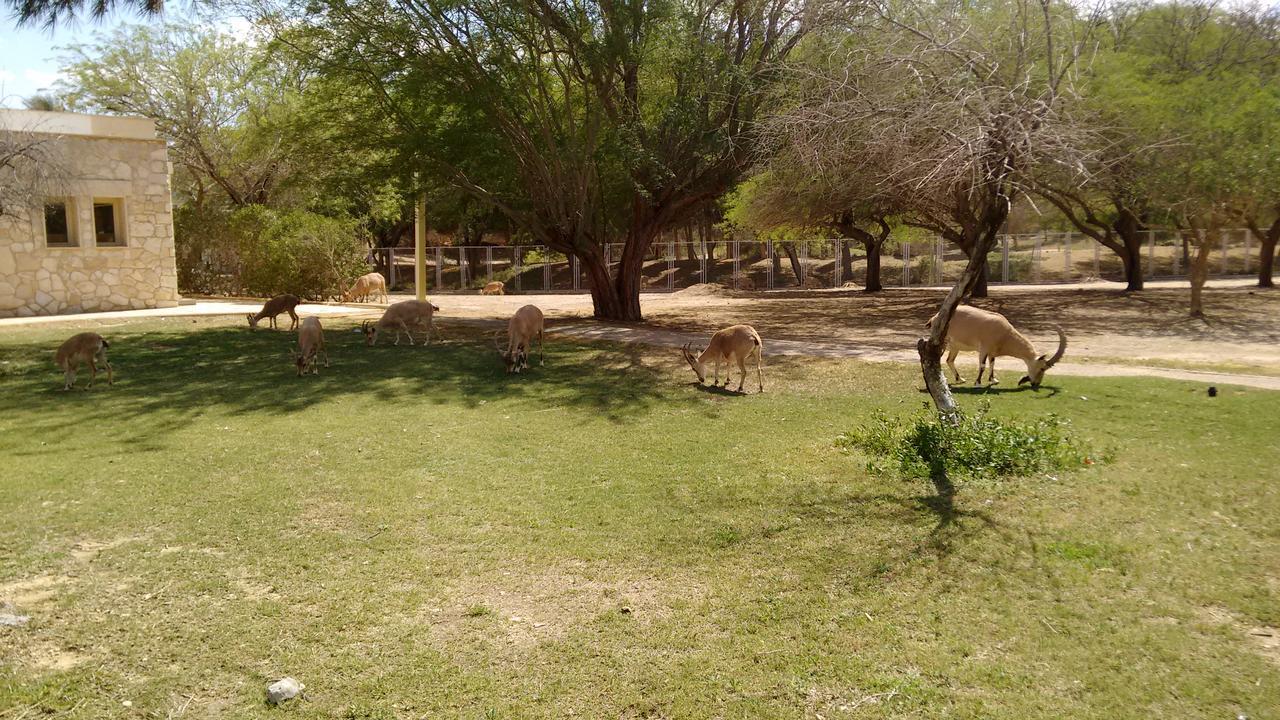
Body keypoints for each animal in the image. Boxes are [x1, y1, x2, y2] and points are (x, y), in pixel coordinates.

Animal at [931, 304, 1070, 389]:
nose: (1035, 384)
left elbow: (992, 364)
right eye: (1042, 368)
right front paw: (977, 383)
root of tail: (935, 317)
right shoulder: (984, 348)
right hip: (943, 342)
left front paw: (993, 380)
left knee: (949, 360)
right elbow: (982, 365)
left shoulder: (992, 352)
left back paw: (960, 379)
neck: (1004, 332)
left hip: (955, 346)